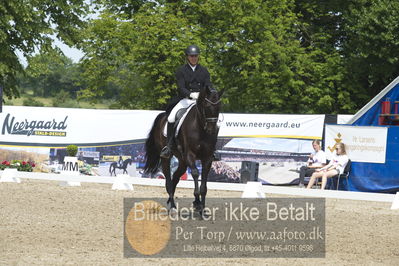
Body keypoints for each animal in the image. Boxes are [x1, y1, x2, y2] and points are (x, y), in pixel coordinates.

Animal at [145, 85, 223, 214]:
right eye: (206, 106)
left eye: (219, 107)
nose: (211, 130)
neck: (200, 128)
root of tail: (163, 116)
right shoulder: (190, 155)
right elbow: (195, 173)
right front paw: (197, 203)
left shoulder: (207, 158)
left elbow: (204, 183)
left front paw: (202, 208)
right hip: (167, 158)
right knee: (169, 180)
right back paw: (172, 206)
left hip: (182, 161)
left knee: (175, 178)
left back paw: (170, 202)